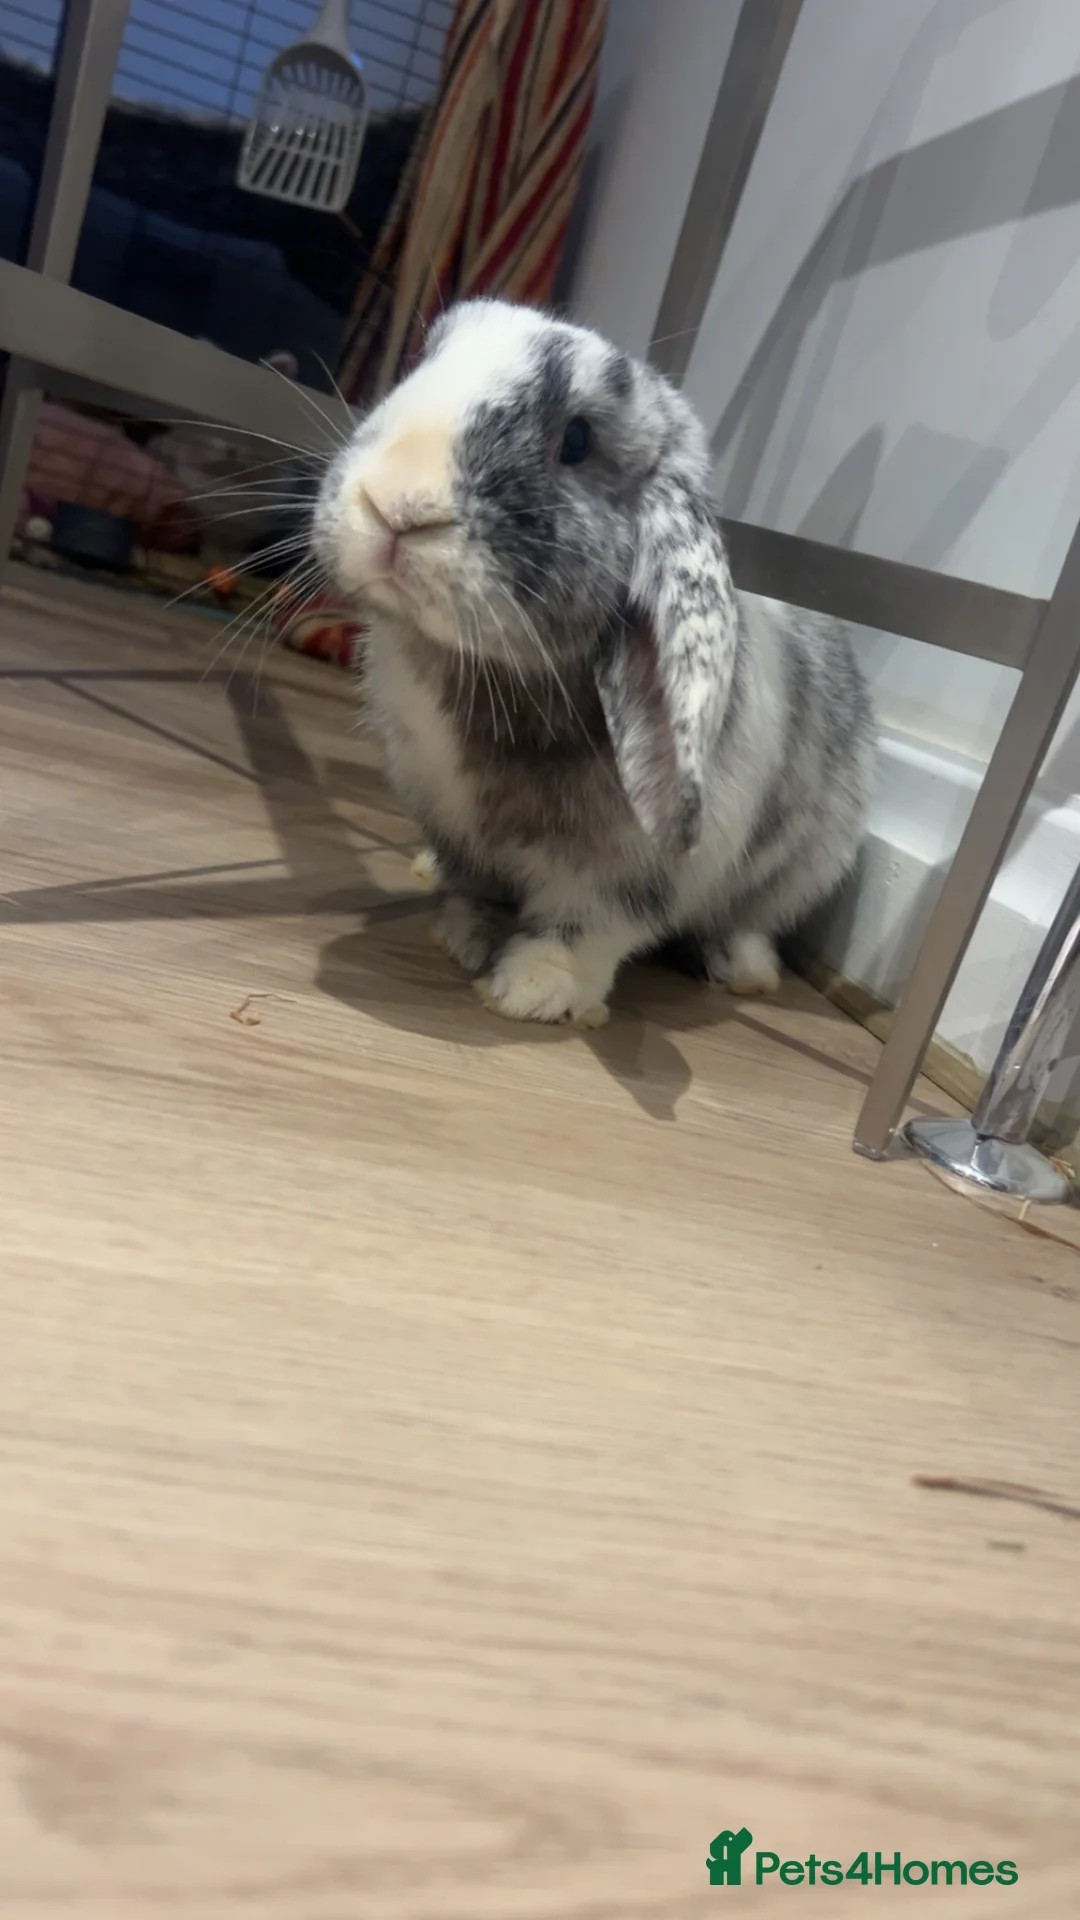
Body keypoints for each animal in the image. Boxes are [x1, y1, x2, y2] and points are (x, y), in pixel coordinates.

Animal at [314, 298, 874, 1027]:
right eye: (421, 361)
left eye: (577, 441)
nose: (393, 502)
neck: (496, 680)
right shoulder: (451, 820)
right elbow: (476, 889)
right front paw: (464, 938)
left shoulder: (631, 876)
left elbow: (588, 928)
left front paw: (531, 992)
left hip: (808, 863)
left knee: (750, 920)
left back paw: (743, 970)